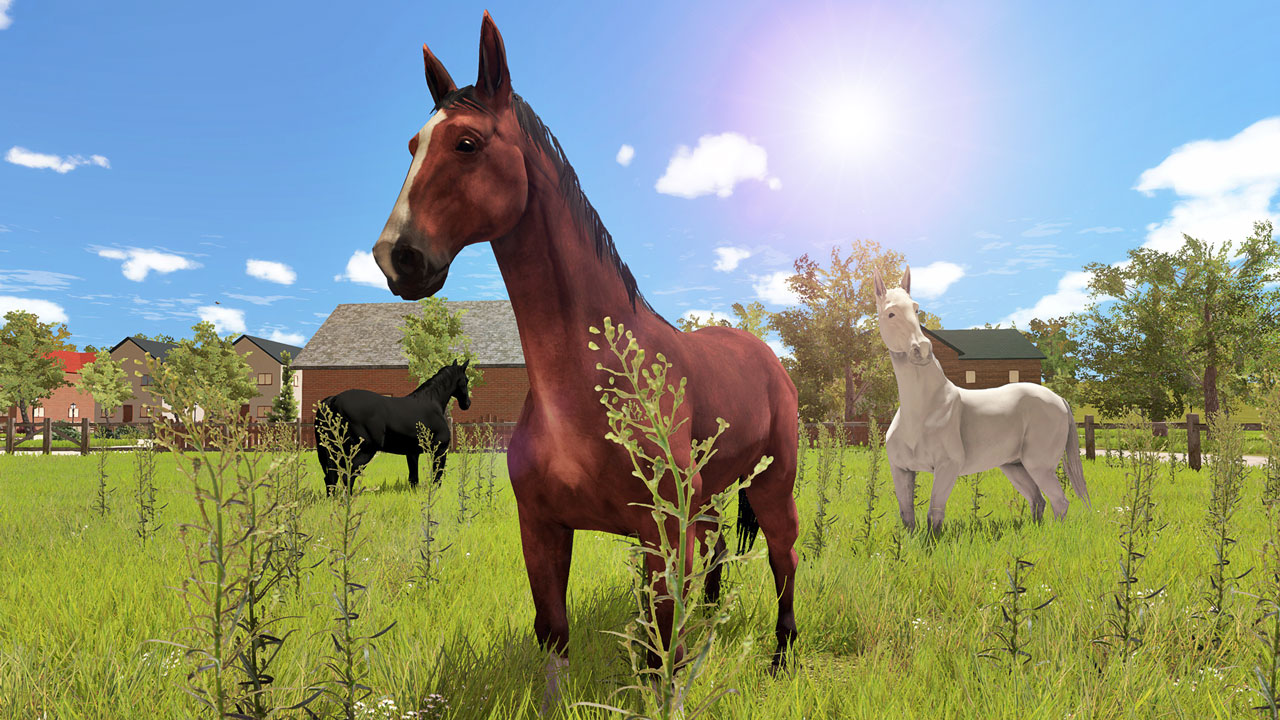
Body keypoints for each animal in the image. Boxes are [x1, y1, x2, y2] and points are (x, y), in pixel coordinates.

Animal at [315, 359, 471, 493]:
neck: (432, 404)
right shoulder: (440, 450)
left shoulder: (412, 452)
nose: (467, 404)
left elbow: (413, 478)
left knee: (331, 478)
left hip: (336, 452)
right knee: (347, 476)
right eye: (466, 380)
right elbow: (437, 478)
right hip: (362, 451)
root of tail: (334, 399)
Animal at [370, 12, 800, 705]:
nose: (397, 257)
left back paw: (782, 658)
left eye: (466, 143)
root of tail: (766, 356)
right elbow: (557, 634)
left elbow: (661, 652)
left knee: (784, 557)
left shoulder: (661, 534)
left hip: (772, 484)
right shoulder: (543, 529)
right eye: (412, 146)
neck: (585, 384)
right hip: (709, 502)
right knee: (715, 564)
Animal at [873, 266, 1090, 533]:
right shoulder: (901, 470)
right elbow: (907, 518)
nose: (921, 350)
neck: (923, 410)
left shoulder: (947, 468)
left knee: (1060, 502)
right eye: (891, 313)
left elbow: (934, 516)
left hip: (1039, 465)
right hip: (1014, 466)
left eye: (916, 309)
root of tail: (1058, 399)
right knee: (1038, 500)